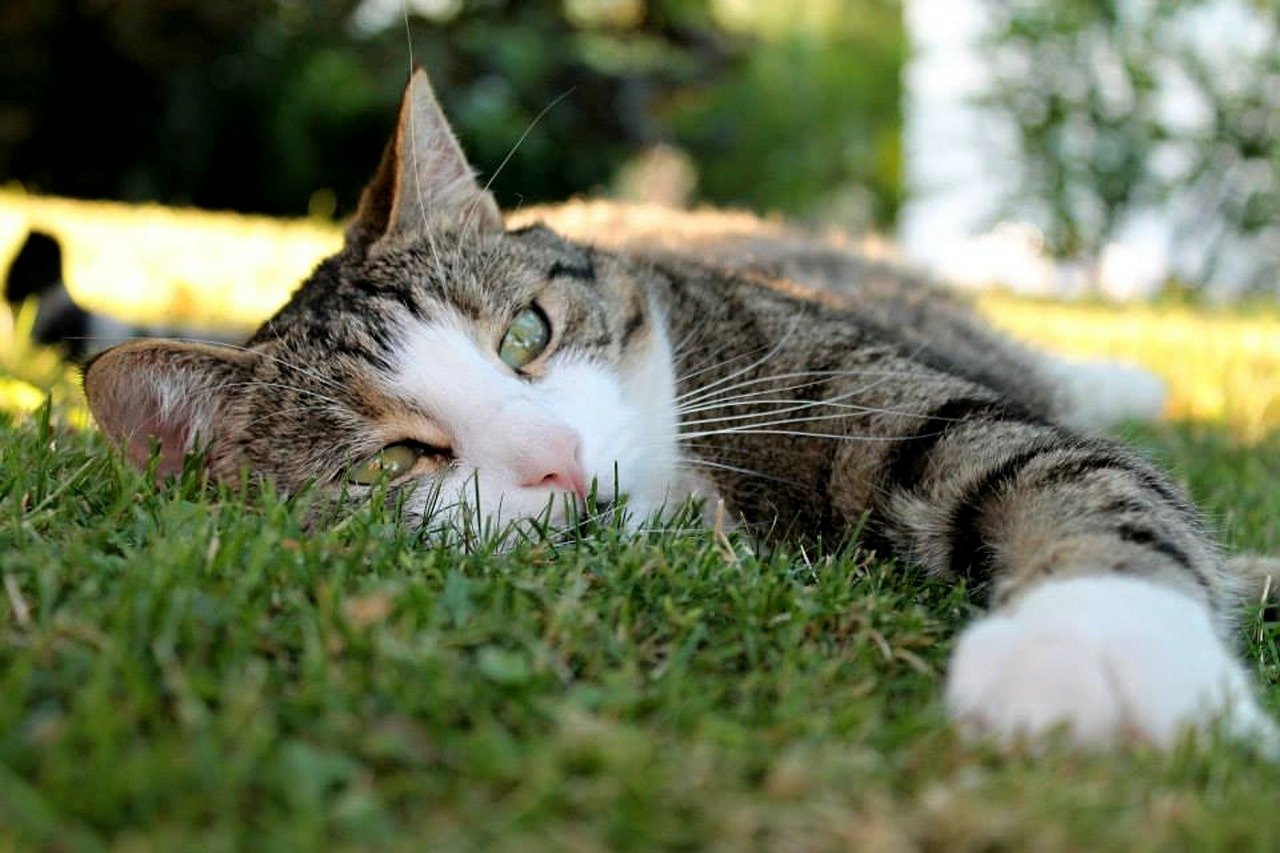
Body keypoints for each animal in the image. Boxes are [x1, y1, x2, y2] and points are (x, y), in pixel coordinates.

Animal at [85, 69, 1274, 753]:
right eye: (390, 466)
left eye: (525, 334)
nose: (558, 456)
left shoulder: (860, 377)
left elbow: (1056, 469)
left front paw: (1101, 645)